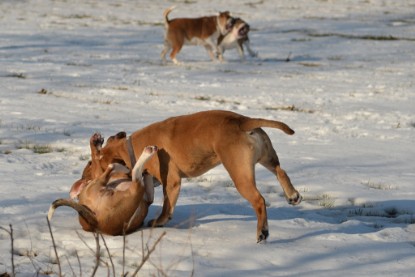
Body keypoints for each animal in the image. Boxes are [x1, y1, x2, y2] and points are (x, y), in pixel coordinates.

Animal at [75, 110, 302, 242]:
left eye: (90, 165)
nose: (84, 180)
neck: (129, 148)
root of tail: (242, 121)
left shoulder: (171, 181)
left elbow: (167, 205)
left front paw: (159, 221)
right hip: (266, 157)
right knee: (280, 171)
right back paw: (292, 195)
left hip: (240, 175)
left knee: (259, 200)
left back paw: (262, 231)